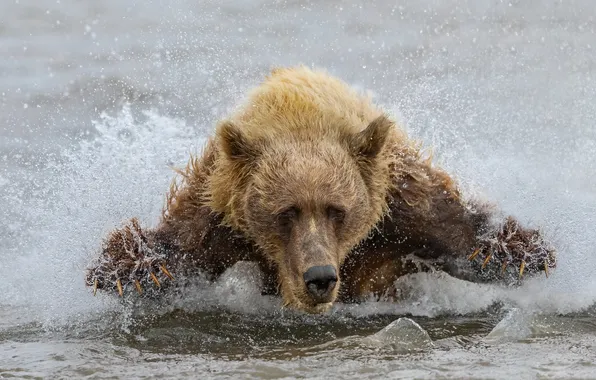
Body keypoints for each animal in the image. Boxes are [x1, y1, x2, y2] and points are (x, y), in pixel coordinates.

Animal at [86, 66, 556, 314]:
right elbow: (174, 249)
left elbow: (459, 231)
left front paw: (514, 251)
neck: (301, 118)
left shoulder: (400, 206)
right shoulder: (217, 215)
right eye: (286, 212)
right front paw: (136, 269)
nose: (320, 278)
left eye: (337, 210)